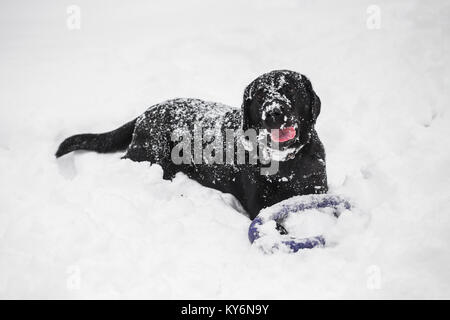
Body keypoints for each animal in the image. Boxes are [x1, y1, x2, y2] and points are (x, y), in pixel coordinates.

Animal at [56, 70, 326, 220]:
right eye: (259, 96)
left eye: (289, 89)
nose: (273, 113)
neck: (286, 164)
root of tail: (145, 112)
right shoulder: (260, 204)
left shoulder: (317, 189)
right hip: (150, 156)